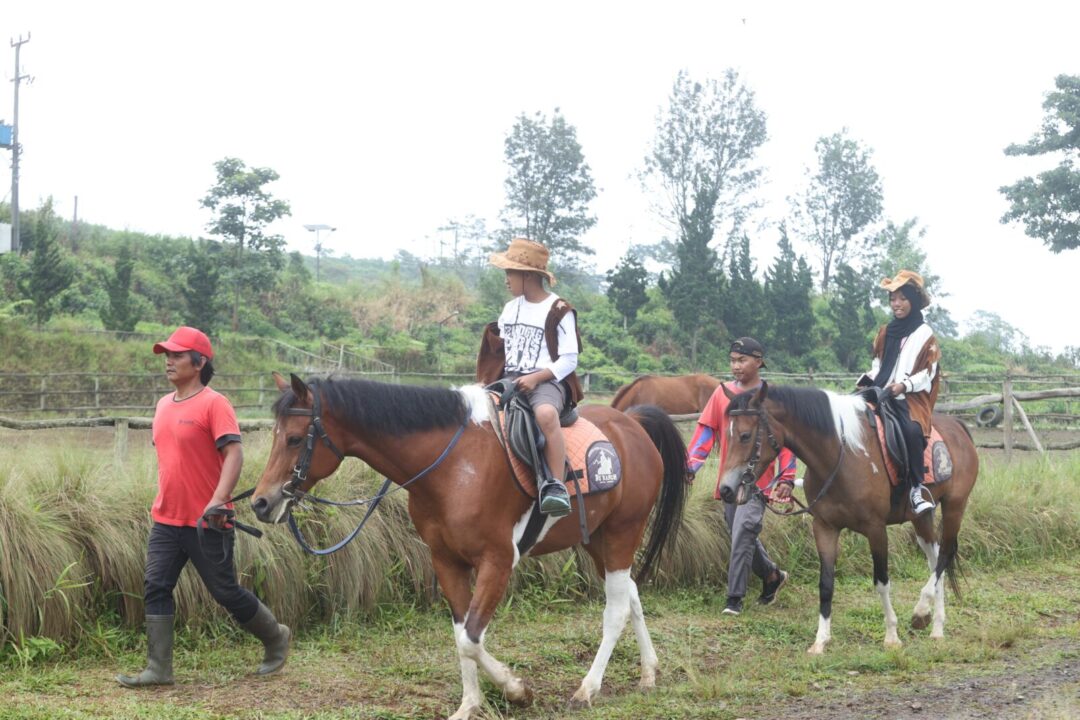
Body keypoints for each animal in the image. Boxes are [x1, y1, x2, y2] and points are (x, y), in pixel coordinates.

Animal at [249, 375, 686, 716]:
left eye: (293, 438)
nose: (261, 502)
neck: (453, 466)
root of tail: (631, 423)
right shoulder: (446, 561)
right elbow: (461, 635)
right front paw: (471, 704)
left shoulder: (498, 561)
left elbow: (472, 639)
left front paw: (517, 690)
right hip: (598, 539)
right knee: (631, 594)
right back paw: (648, 672)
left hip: (623, 532)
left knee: (615, 610)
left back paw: (587, 688)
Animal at [717, 386, 980, 656]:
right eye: (727, 435)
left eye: (745, 435)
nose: (726, 489)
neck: (842, 457)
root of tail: (957, 425)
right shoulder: (824, 527)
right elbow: (825, 584)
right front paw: (820, 640)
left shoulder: (876, 530)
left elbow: (882, 582)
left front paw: (891, 636)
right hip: (921, 516)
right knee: (935, 558)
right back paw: (935, 625)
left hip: (955, 506)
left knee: (944, 555)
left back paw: (921, 611)